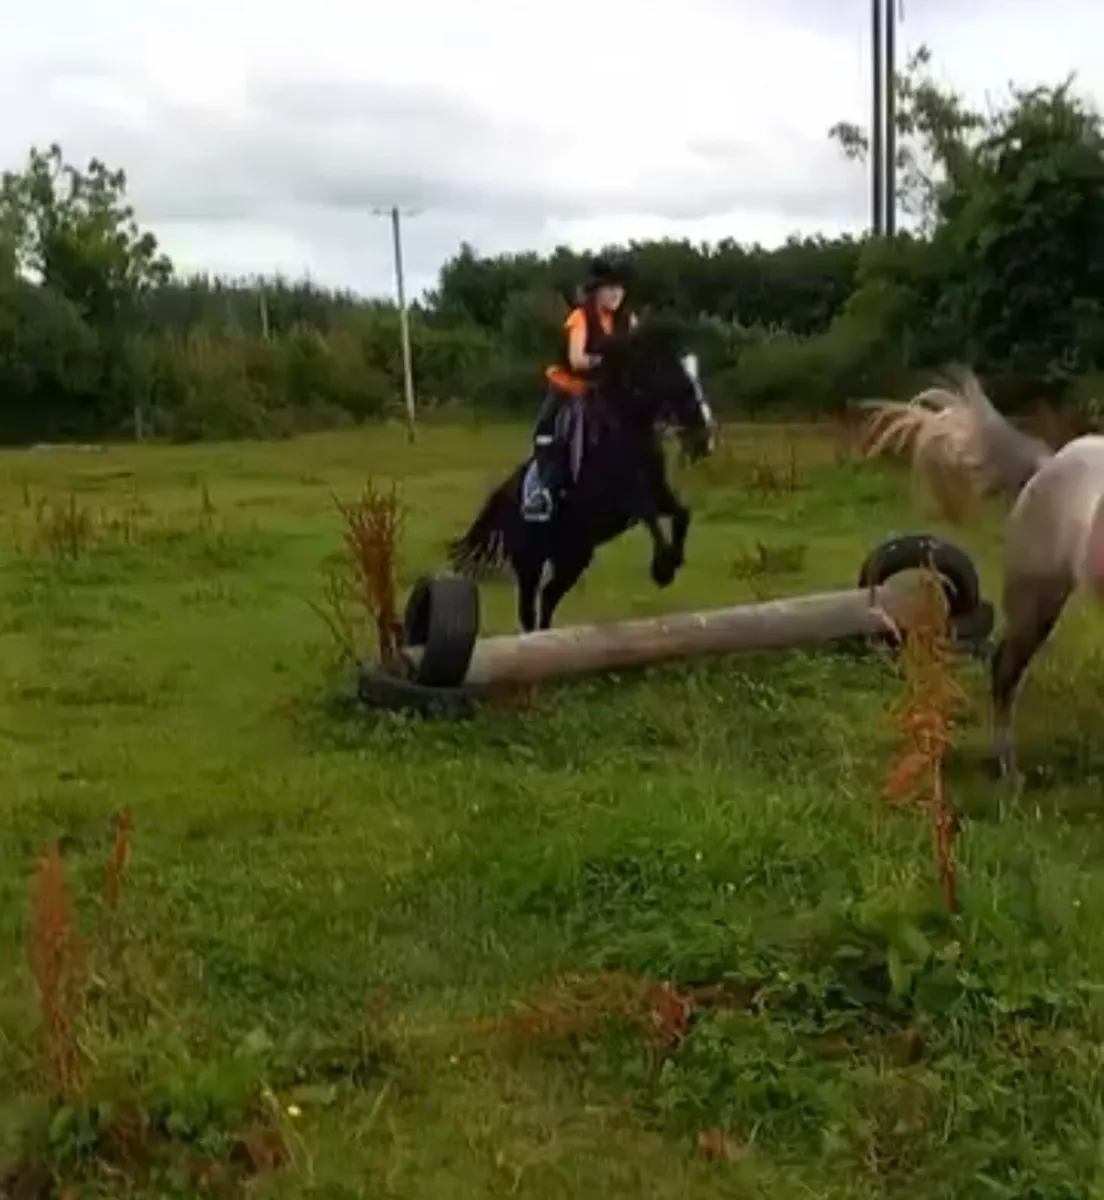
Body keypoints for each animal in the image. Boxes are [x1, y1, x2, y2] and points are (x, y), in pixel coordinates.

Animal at [447, 320, 717, 633]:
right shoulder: (626, 499)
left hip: (573, 557)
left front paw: (673, 562)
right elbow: (650, 515)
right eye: (669, 374)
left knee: (548, 599)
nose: (704, 439)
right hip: (531, 562)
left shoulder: (660, 495)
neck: (627, 432)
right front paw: (662, 570)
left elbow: (682, 514)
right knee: (529, 608)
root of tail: (504, 495)